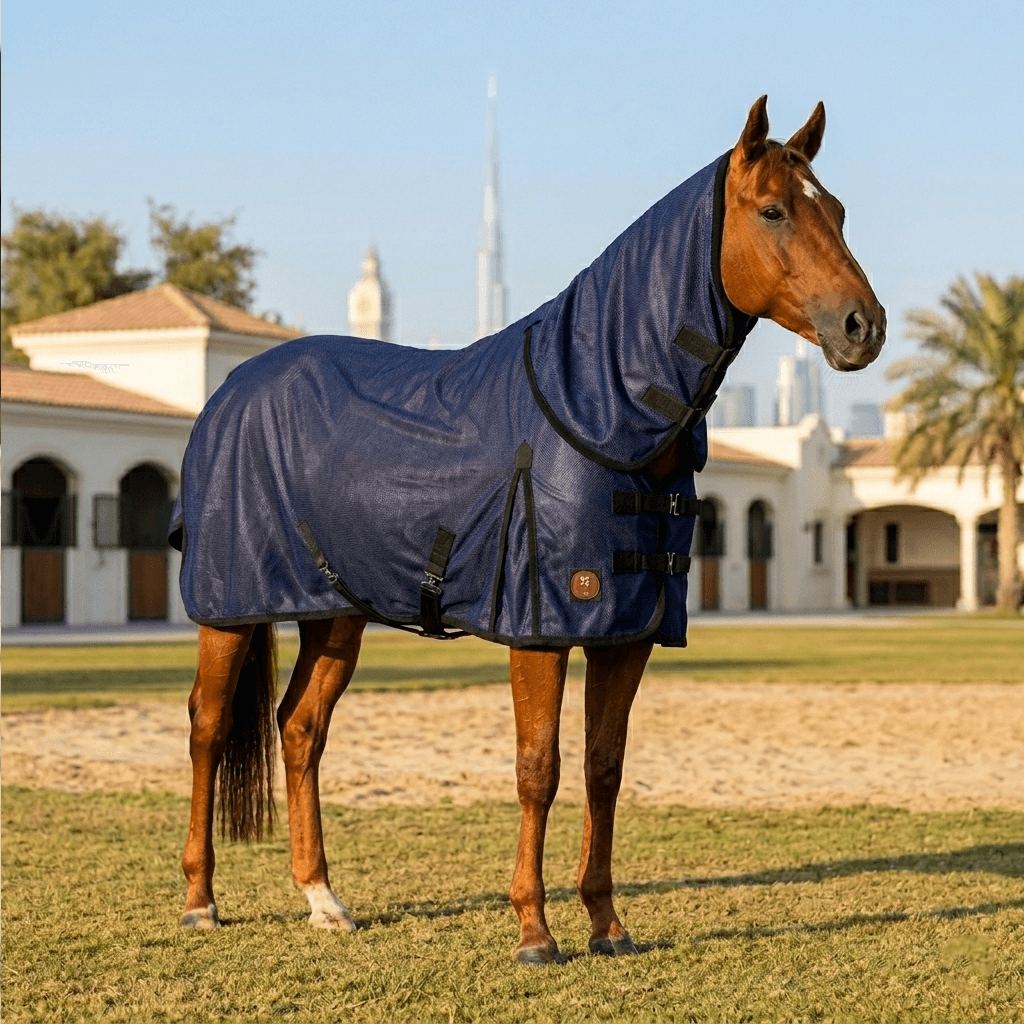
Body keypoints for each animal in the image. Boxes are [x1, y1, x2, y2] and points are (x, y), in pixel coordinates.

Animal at [173, 96, 885, 965]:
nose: (863, 326)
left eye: (838, 211)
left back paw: (323, 900)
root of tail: (230, 389)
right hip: (230, 609)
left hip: (336, 612)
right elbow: (537, 767)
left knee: (301, 728)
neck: (594, 410)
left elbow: (604, 768)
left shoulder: (627, 631)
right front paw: (535, 930)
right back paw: (202, 901)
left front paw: (608, 925)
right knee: (208, 729)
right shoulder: (541, 628)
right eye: (775, 209)